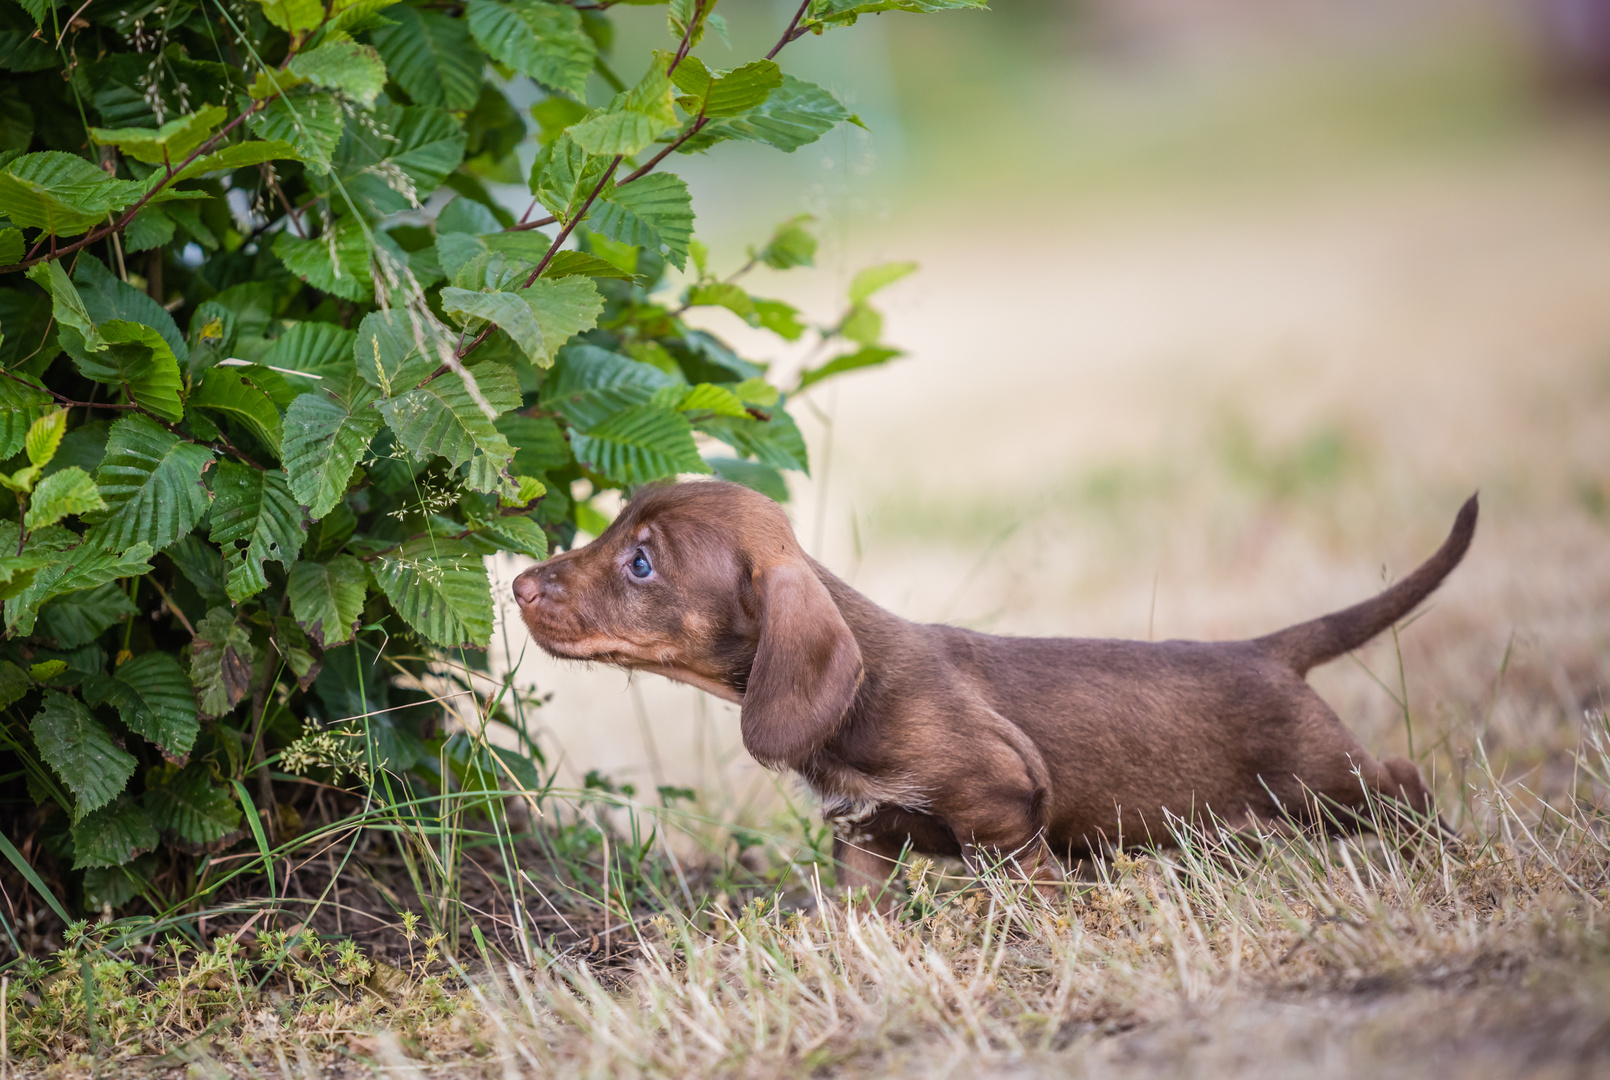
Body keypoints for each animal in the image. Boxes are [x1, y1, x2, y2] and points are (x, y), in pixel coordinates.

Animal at [508, 482, 1474, 894]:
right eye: (615, 527)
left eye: (641, 564)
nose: (517, 584)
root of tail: (1268, 649)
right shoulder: (864, 840)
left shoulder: (1003, 811)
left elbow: (1033, 897)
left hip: (1320, 782)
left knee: (1402, 781)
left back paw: (1453, 857)